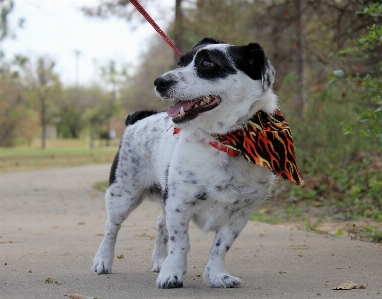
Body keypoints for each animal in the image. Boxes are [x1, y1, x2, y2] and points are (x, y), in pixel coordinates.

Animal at [91, 37, 280, 288]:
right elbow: (181, 243)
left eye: (207, 63)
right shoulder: (180, 203)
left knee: (160, 223)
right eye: (180, 63)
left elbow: (220, 247)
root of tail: (138, 118)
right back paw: (103, 260)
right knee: (111, 227)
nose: (160, 82)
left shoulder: (241, 213)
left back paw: (159, 260)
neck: (226, 142)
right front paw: (172, 273)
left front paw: (217, 275)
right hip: (122, 194)